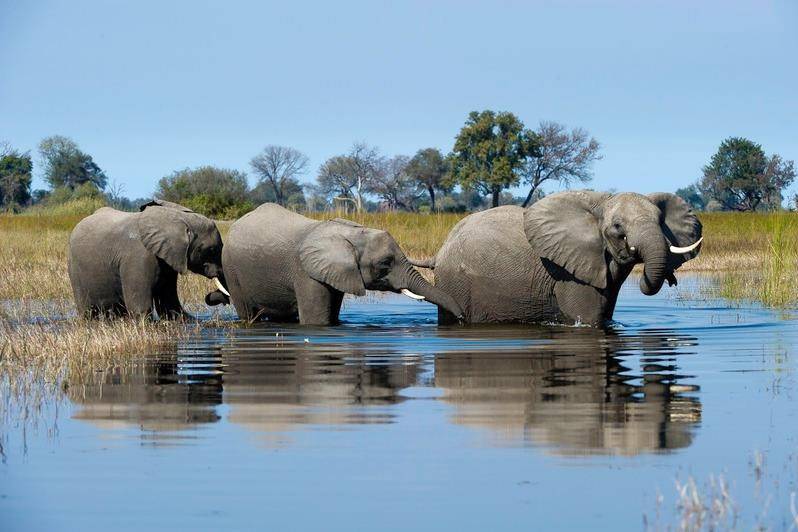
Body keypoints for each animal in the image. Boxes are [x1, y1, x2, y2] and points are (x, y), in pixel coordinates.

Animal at [67, 197, 230, 318]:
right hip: (74, 269)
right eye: (211, 250)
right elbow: (141, 308)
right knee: (87, 311)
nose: (213, 297)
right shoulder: (139, 256)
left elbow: (169, 304)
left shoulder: (167, 258)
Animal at [209, 203, 466, 324]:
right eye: (385, 263)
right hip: (231, 268)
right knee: (247, 312)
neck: (351, 234)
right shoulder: (306, 273)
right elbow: (317, 321)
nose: (462, 318)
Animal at [422, 189, 704, 326]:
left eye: (661, 222)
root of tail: (441, 250)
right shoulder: (568, 274)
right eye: (617, 227)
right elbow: (590, 319)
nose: (671, 279)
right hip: (456, 282)